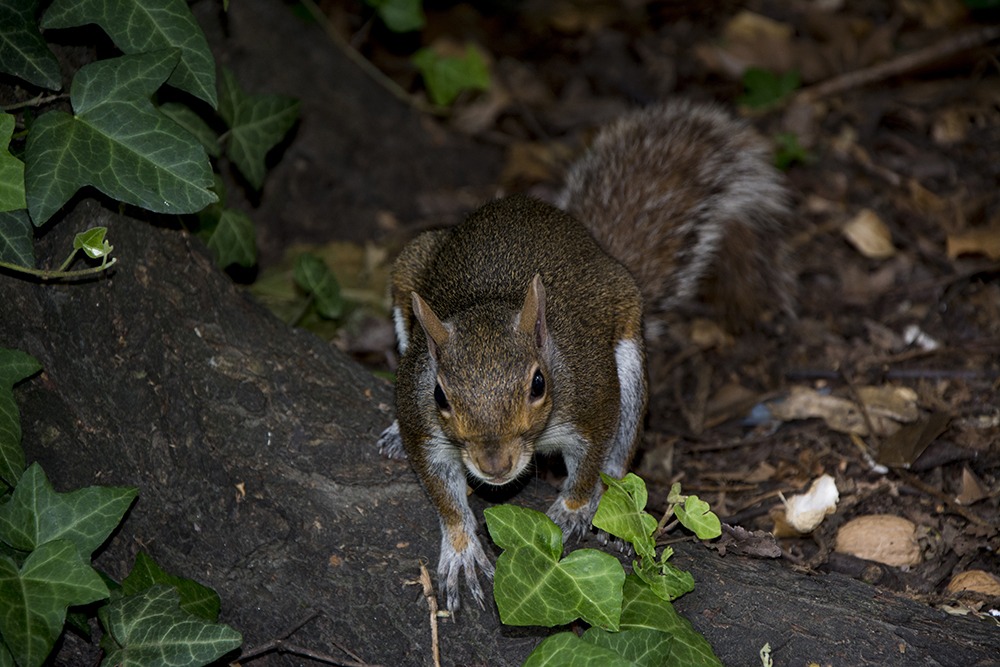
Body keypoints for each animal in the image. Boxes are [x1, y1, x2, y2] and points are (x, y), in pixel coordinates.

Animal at [377, 100, 791, 612]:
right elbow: (442, 490)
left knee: (621, 450)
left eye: (539, 383)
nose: (495, 466)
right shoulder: (424, 425)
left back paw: (610, 502)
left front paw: (572, 508)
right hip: (411, 267)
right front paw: (461, 550)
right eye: (440, 396)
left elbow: (591, 457)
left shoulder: (592, 402)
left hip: (629, 353)